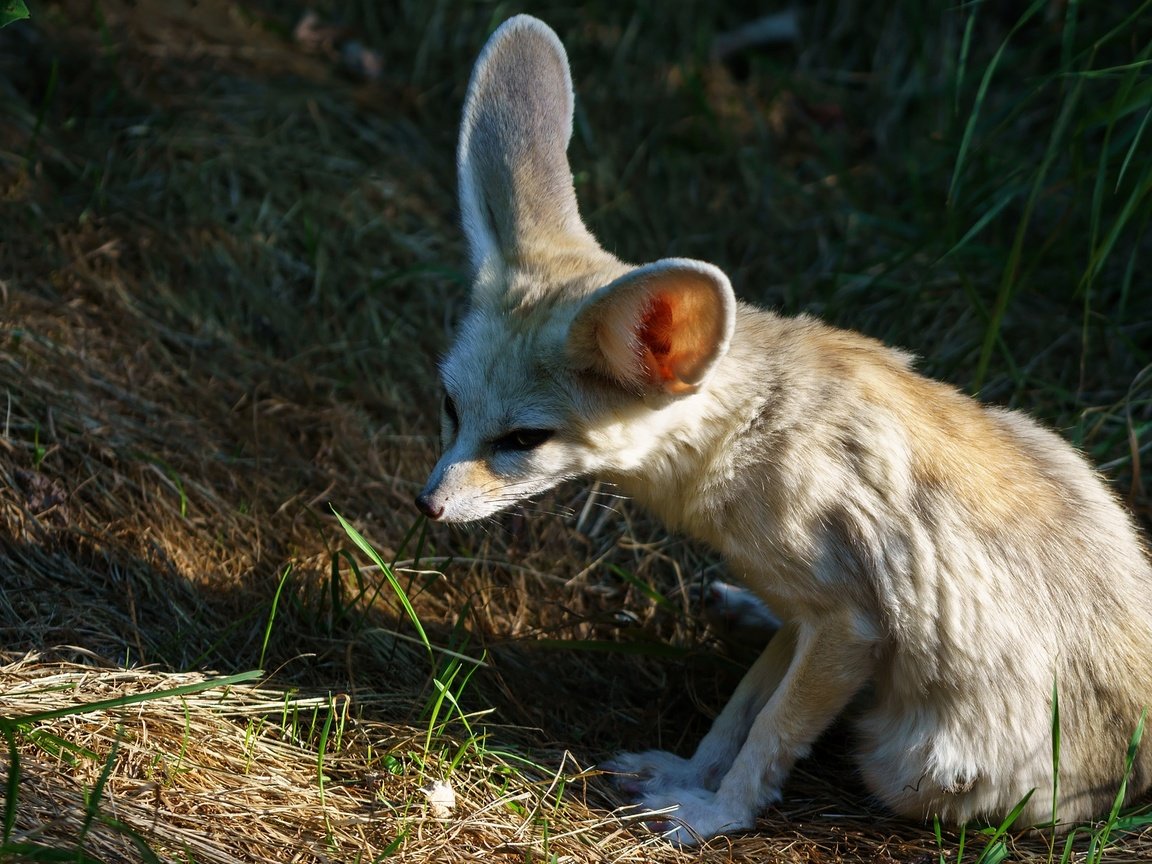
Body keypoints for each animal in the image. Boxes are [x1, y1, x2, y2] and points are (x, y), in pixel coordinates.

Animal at [419, 13, 1152, 847]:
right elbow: (741, 710)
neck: (756, 427)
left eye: (522, 442)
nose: (427, 505)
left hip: (907, 763)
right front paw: (688, 773)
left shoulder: (848, 624)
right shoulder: (809, 614)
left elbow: (770, 732)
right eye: (450, 408)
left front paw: (713, 812)